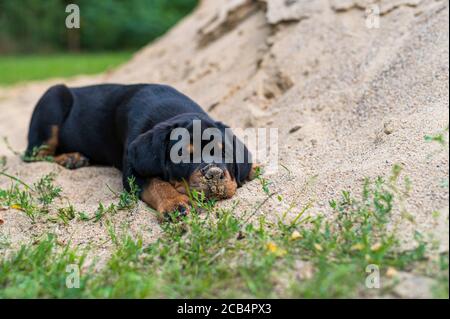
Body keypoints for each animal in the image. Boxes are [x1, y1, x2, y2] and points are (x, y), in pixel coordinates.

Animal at [25, 84, 256, 216]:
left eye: (225, 153)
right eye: (182, 155)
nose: (215, 174)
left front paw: (252, 169)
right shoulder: (132, 173)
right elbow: (157, 184)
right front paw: (175, 204)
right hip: (53, 99)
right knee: (34, 154)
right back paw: (70, 158)